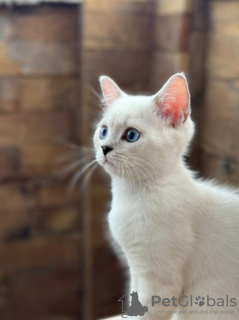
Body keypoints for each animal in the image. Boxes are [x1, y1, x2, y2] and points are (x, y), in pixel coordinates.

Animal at [93, 74, 239, 318]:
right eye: (103, 131)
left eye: (131, 135)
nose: (105, 148)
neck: (130, 196)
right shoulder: (135, 269)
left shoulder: (159, 283)